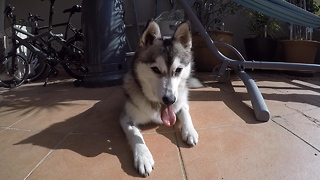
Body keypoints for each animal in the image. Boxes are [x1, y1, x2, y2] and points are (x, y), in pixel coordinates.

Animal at [120, 20, 199, 177]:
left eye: (178, 70)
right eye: (155, 69)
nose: (169, 100)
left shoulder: (181, 103)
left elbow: (185, 113)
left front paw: (189, 131)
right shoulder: (125, 117)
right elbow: (134, 132)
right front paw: (143, 157)